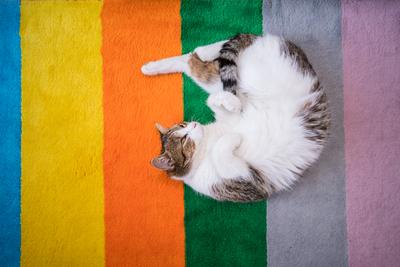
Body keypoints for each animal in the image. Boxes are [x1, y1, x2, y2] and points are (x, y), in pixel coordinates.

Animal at [142, 33, 330, 202]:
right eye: (184, 139)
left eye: (183, 125)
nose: (193, 125)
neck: (207, 144)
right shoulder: (246, 181)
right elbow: (221, 150)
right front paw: (234, 137)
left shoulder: (232, 119)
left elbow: (217, 103)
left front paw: (225, 102)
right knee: (194, 64)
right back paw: (152, 68)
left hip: (246, 74)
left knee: (206, 57)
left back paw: (203, 53)